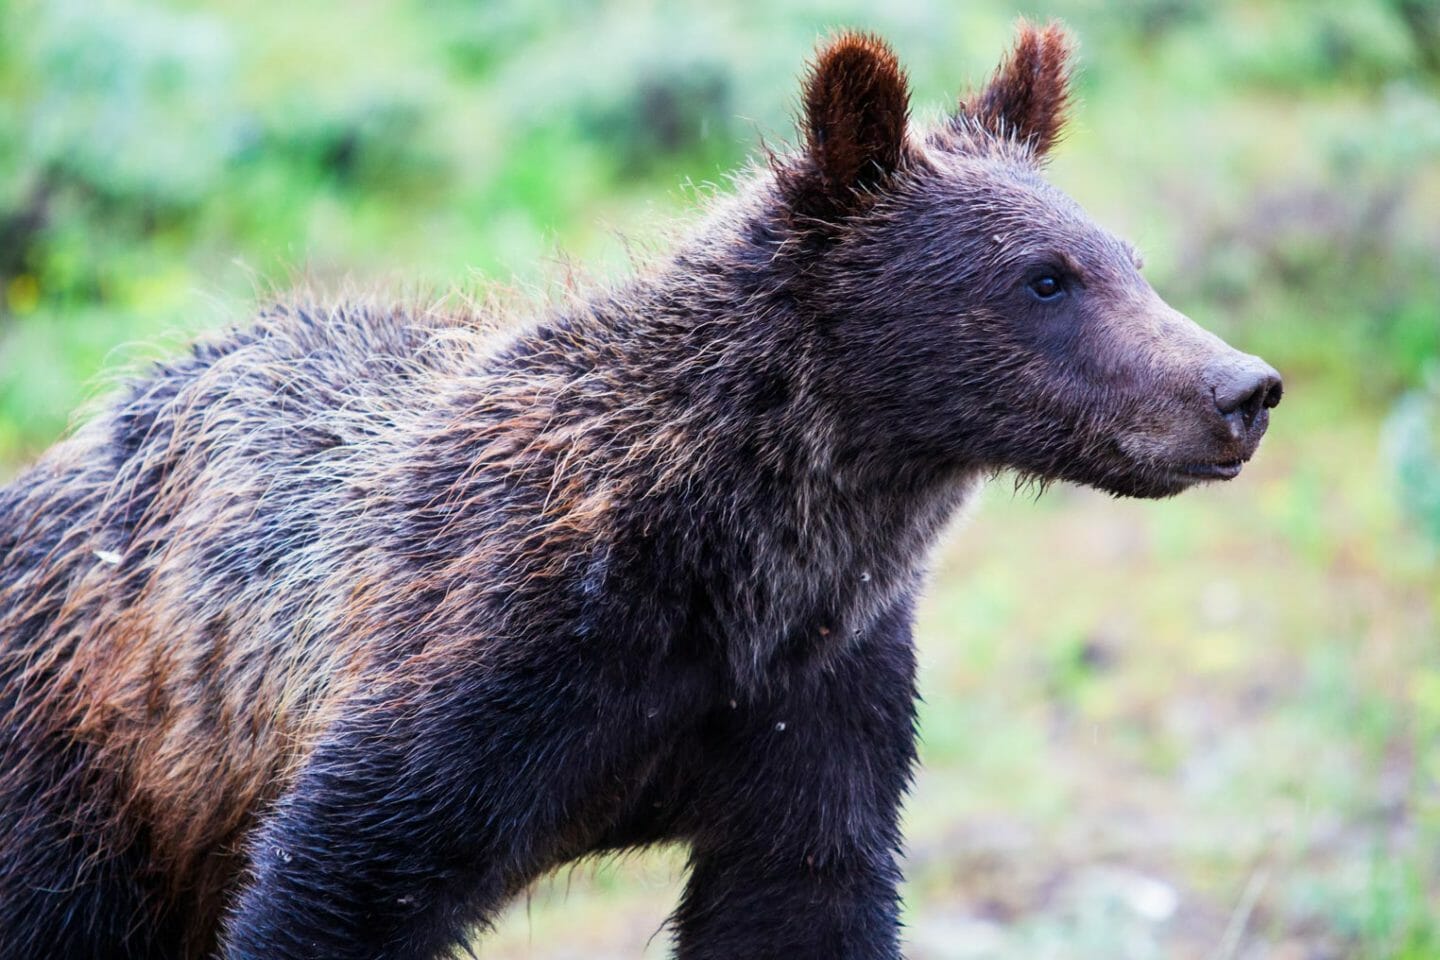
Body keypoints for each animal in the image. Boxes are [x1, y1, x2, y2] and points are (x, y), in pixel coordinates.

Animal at [0, 22, 1284, 960]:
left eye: (1128, 259)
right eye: (1045, 278)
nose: (1242, 389)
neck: (738, 556)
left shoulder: (813, 698)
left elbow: (801, 897)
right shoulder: (486, 661)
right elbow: (343, 878)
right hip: (89, 769)